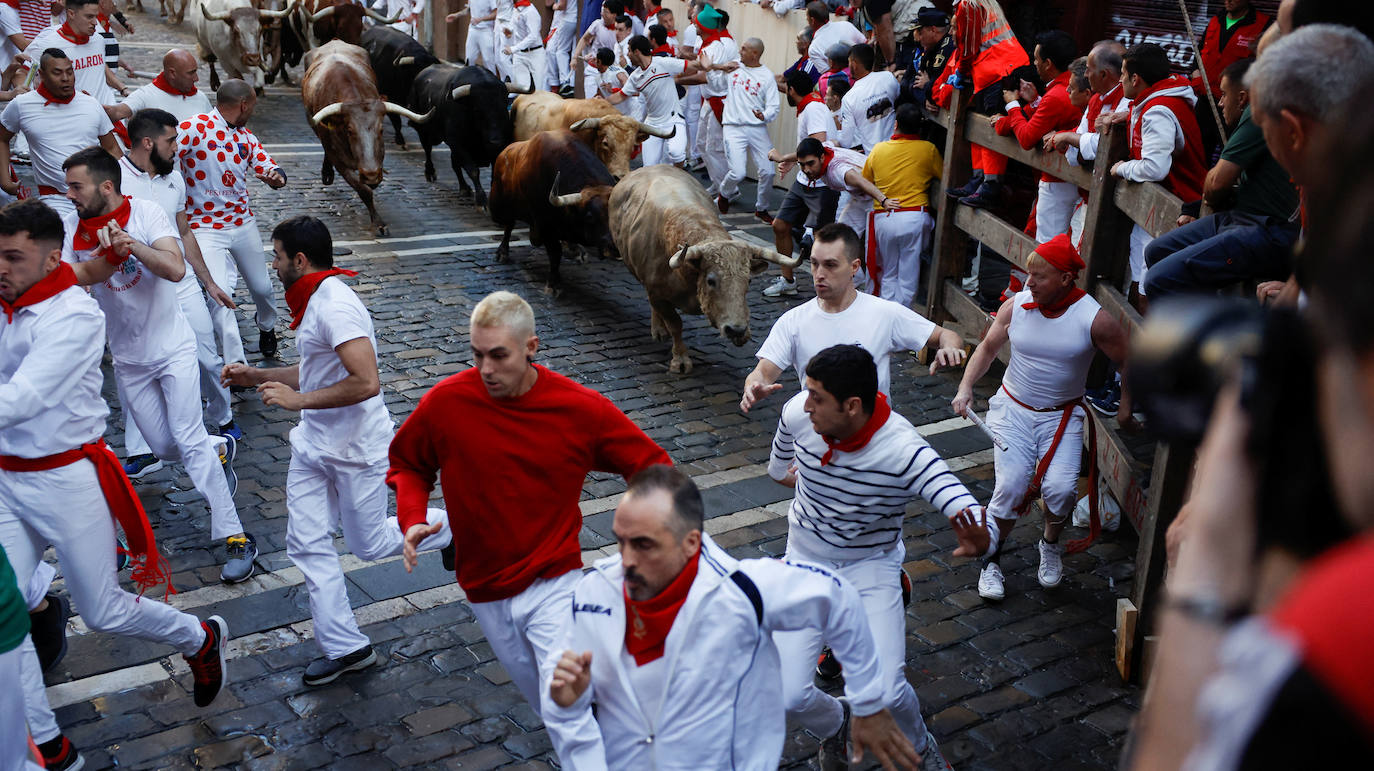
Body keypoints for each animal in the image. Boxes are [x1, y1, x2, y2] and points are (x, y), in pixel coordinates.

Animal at [306, 40, 434, 233]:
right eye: (349, 130)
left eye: (380, 130)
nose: (371, 175)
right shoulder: (339, 160)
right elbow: (364, 190)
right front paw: (378, 221)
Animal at [610, 166, 802, 373]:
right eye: (711, 280)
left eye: (748, 281)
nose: (736, 329)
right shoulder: (656, 293)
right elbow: (675, 324)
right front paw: (680, 359)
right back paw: (659, 330)